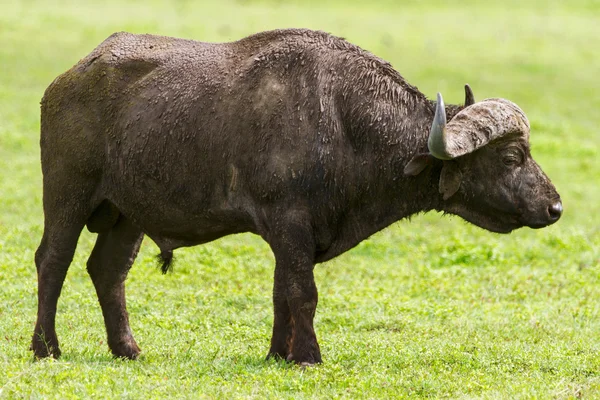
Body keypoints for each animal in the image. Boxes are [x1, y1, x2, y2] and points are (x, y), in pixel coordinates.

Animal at [32, 28, 564, 366]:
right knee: (53, 260)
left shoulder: (290, 237)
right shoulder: (289, 222)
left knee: (108, 270)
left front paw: (277, 354)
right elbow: (303, 293)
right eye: (512, 156)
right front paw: (308, 356)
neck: (345, 122)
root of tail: (66, 80)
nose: (555, 206)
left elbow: (281, 292)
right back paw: (45, 347)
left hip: (127, 213)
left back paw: (127, 348)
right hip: (67, 194)